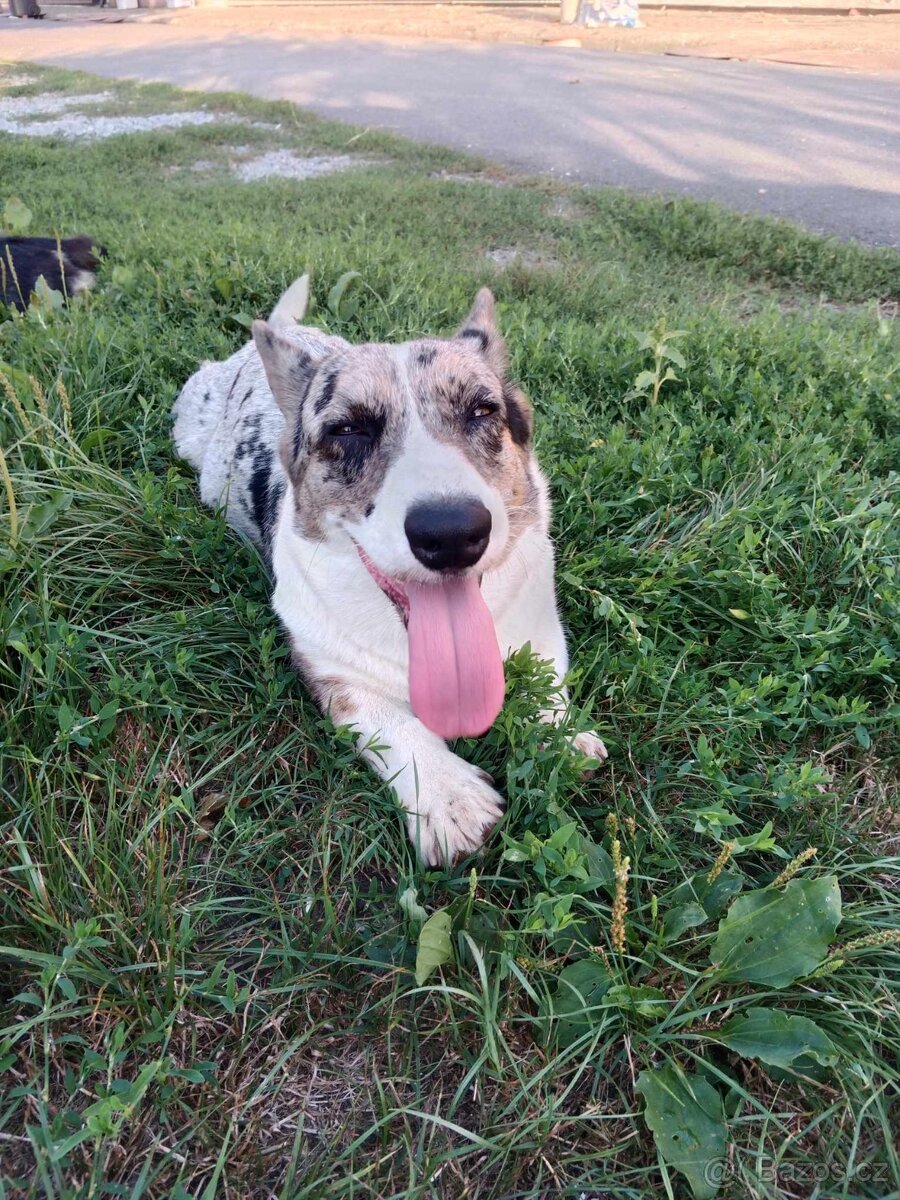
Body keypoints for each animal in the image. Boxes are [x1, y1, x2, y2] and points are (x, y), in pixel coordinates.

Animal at [170, 274, 607, 864]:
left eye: (481, 412)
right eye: (349, 429)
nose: (451, 533)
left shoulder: (540, 625)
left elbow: (547, 683)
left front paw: (562, 735)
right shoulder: (330, 666)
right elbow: (389, 720)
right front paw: (451, 799)